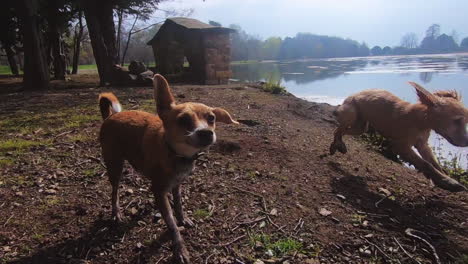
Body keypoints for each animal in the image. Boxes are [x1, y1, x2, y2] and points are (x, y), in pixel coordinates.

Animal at [98, 73, 238, 262]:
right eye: (183, 120)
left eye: (211, 118)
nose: (206, 133)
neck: (176, 153)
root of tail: (110, 116)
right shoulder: (160, 190)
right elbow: (171, 223)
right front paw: (179, 248)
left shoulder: (177, 184)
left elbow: (178, 204)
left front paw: (182, 218)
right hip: (115, 166)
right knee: (114, 192)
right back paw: (116, 213)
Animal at [330, 81, 468, 193]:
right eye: (457, 121)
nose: (467, 142)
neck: (420, 120)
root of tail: (355, 94)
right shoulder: (400, 147)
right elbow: (425, 164)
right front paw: (449, 182)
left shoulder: (423, 145)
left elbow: (434, 163)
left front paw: (445, 178)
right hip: (352, 114)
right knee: (338, 129)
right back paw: (336, 145)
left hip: (361, 127)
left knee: (341, 130)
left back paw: (338, 145)